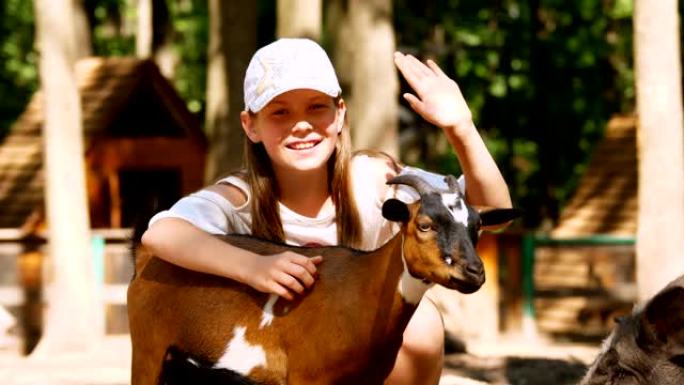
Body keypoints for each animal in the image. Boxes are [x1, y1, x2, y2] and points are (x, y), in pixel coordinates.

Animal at [127, 174, 520, 384]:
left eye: (477, 227)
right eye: (424, 224)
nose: (473, 272)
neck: (360, 290)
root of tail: (146, 255)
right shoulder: (307, 375)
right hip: (148, 349)